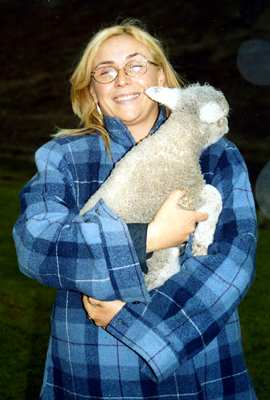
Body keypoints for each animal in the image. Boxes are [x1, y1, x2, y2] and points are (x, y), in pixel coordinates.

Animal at [79, 83, 229, 290]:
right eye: (223, 116)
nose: (228, 126)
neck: (178, 140)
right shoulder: (187, 193)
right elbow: (215, 195)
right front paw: (203, 240)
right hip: (161, 256)